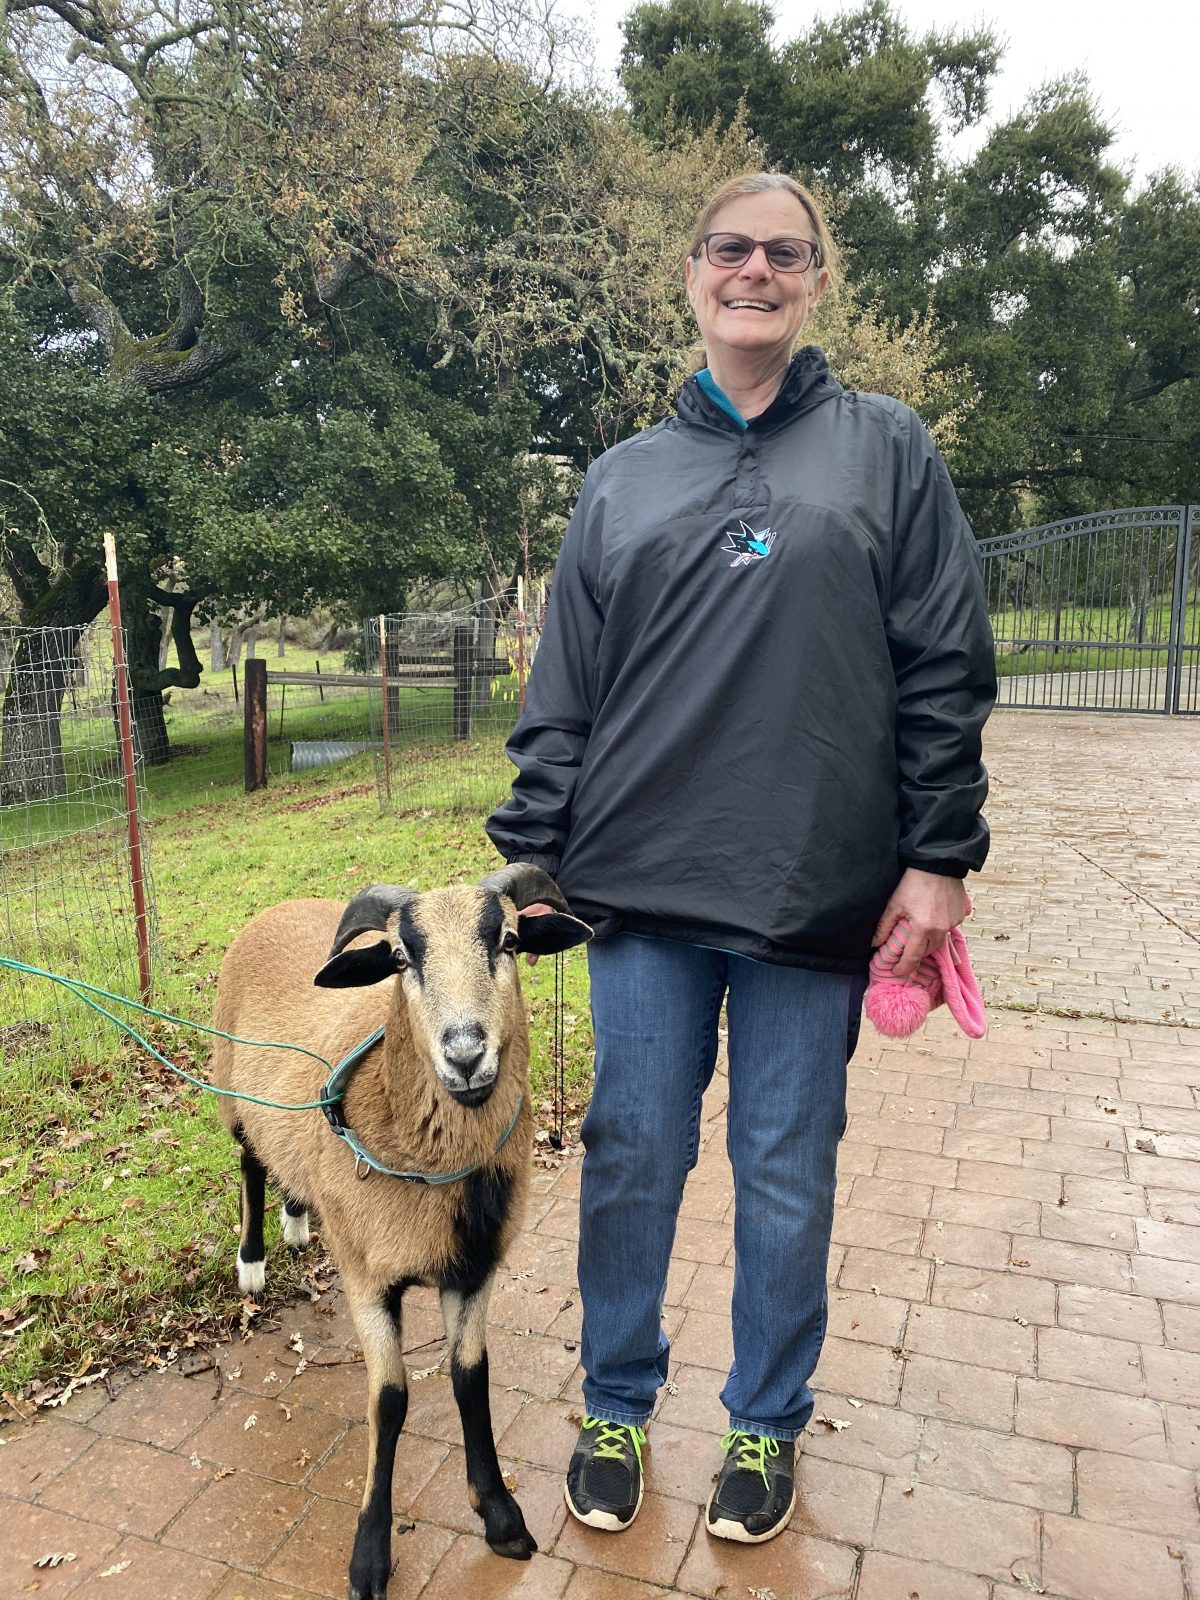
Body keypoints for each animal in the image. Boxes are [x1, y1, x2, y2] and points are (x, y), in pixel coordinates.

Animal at [214, 870, 598, 1593]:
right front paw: (369, 1556)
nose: (466, 1054)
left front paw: (499, 1515)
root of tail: (279, 907)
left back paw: (297, 1216)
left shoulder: (473, 1268)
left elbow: (470, 1378)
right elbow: (388, 1402)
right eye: (400, 958)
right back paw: (252, 1261)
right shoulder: (367, 1280)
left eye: (508, 940)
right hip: (230, 1089)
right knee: (250, 1158)